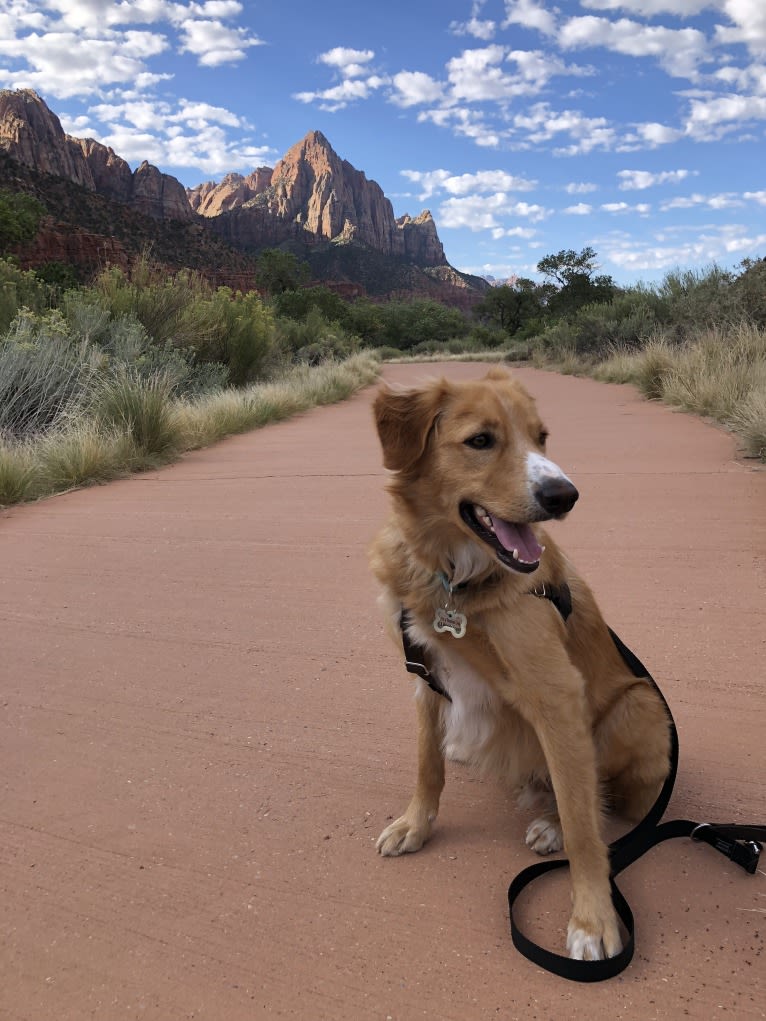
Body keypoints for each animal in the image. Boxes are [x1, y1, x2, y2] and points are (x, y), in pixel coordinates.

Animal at [371, 369, 669, 963]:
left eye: (542, 437)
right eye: (481, 440)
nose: (565, 495)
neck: (457, 582)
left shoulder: (557, 695)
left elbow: (582, 822)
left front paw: (593, 919)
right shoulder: (424, 677)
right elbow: (426, 764)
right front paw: (415, 825)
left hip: (639, 704)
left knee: (602, 794)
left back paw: (552, 821)